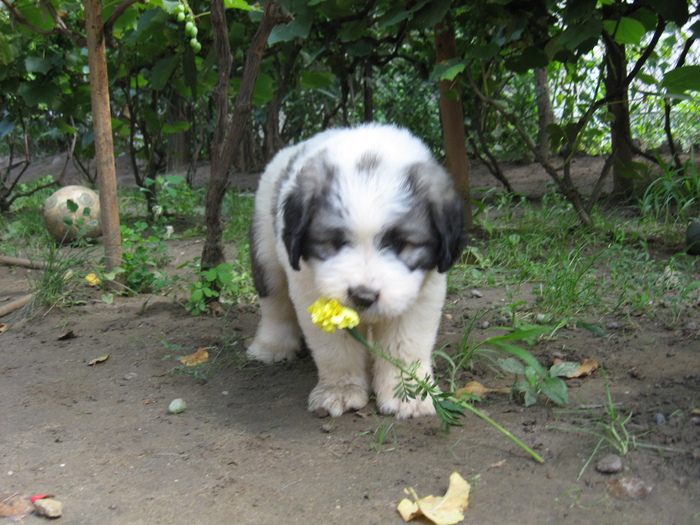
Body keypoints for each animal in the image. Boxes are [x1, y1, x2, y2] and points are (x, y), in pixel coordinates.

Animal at [246, 123, 464, 418]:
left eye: (400, 244)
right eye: (335, 242)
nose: (363, 296)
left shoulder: (422, 290)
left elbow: (405, 345)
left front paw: (408, 395)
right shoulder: (313, 291)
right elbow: (336, 349)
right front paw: (340, 391)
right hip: (265, 248)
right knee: (274, 302)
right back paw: (271, 346)